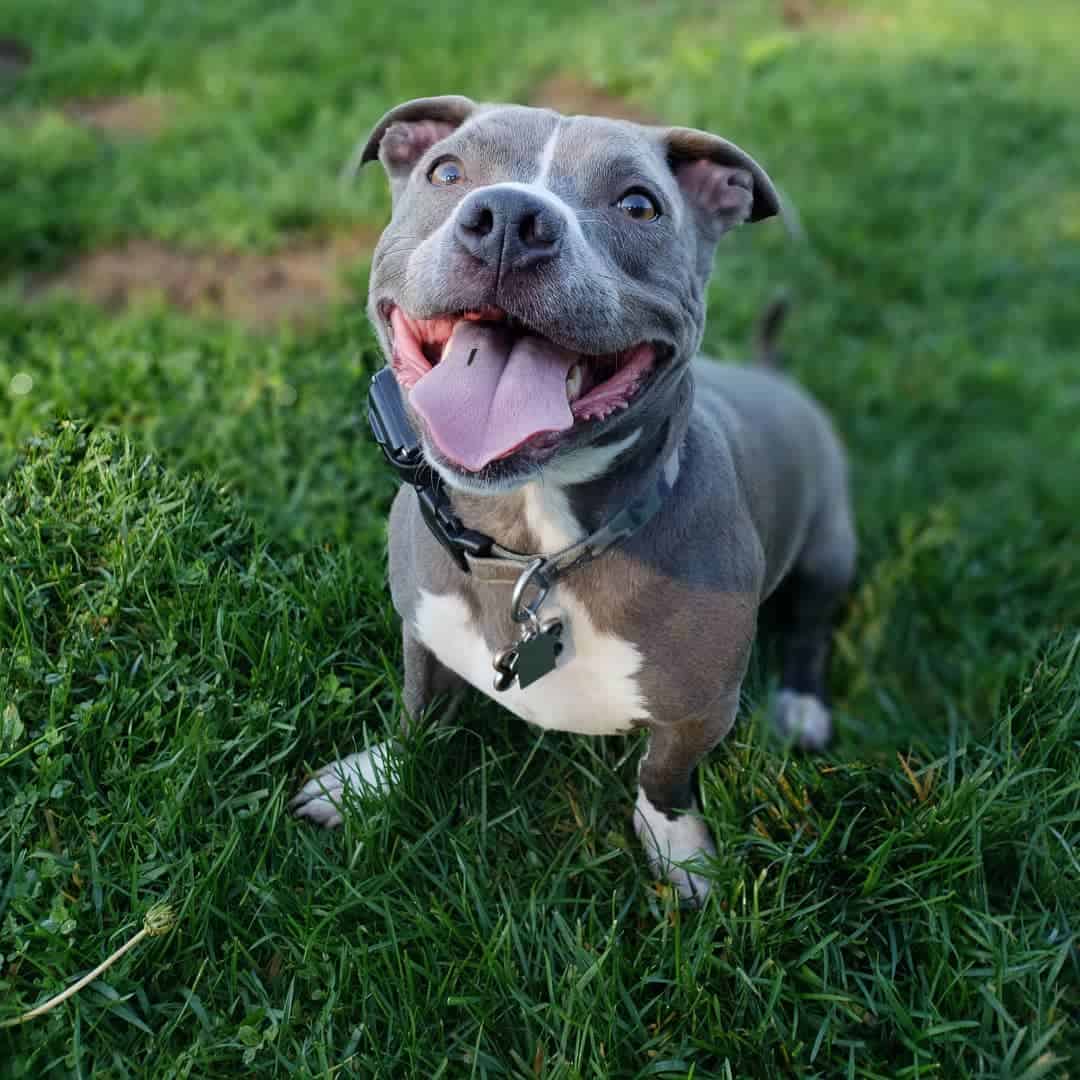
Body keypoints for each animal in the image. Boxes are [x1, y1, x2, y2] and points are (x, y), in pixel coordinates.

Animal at [291, 95, 855, 902]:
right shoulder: (421, 626)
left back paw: (803, 704)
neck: (536, 546)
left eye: (640, 205)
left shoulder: (702, 708)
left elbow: (664, 776)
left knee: (812, 624)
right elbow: (418, 712)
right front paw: (369, 781)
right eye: (447, 171)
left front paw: (678, 852)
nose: (508, 219)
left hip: (830, 547)